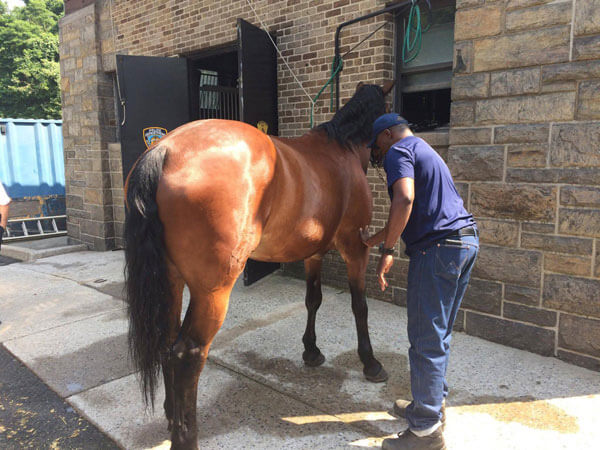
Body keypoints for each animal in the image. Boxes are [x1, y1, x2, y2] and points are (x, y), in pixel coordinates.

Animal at [123, 80, 394, 446]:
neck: (342, 149)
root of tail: (163, 150)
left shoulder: (314, 253)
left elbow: (313, 299)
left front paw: (311, 351)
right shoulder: (355, 247)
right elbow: (359, 306)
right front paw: (370, 363)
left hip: (171, 279)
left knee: (166, 342)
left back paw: (170, 416)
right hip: (213, 292)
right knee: (187, 354)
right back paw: (186, 435)